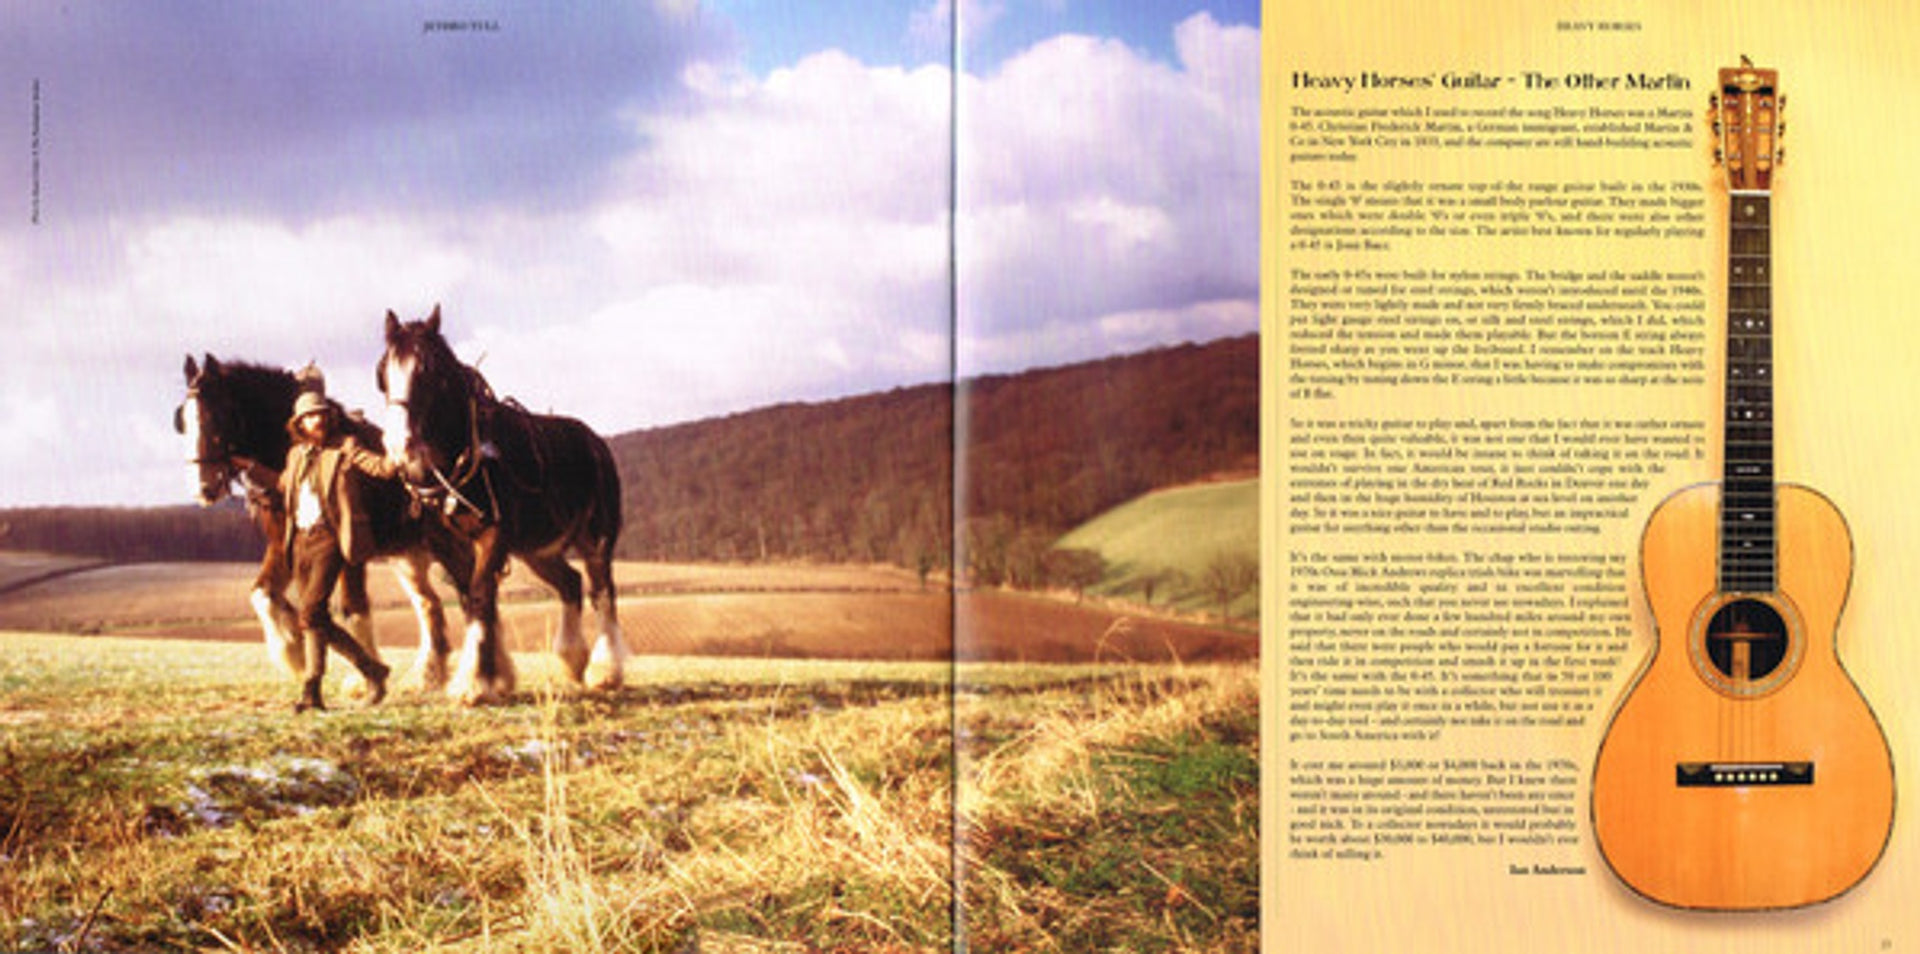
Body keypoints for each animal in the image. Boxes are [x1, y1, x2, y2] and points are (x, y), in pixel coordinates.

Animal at [176, 355, 473, 696]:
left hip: (448, 546)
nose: (203, 488)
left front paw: (362, 677)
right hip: (408, 554)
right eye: (182, 420)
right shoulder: (283, 543)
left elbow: (353, 607)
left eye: (219, 415)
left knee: (469, 595)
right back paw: (427, 675)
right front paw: (293, 650)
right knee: (429, 605)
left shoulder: (351, 545)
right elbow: (263, 595)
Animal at [376, 305, 629, 705]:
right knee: (571, 584)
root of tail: (593, 440)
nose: (403, 450)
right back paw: (572, 657)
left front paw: (475, 682)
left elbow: (481, 595)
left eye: (431, 373)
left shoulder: (493, 535)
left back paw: (605, 669)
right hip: (538, 551)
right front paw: (495, 674)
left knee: (602, 590)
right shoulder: (450, 545)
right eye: (383, 376)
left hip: (597, 539)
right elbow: (470, 598)